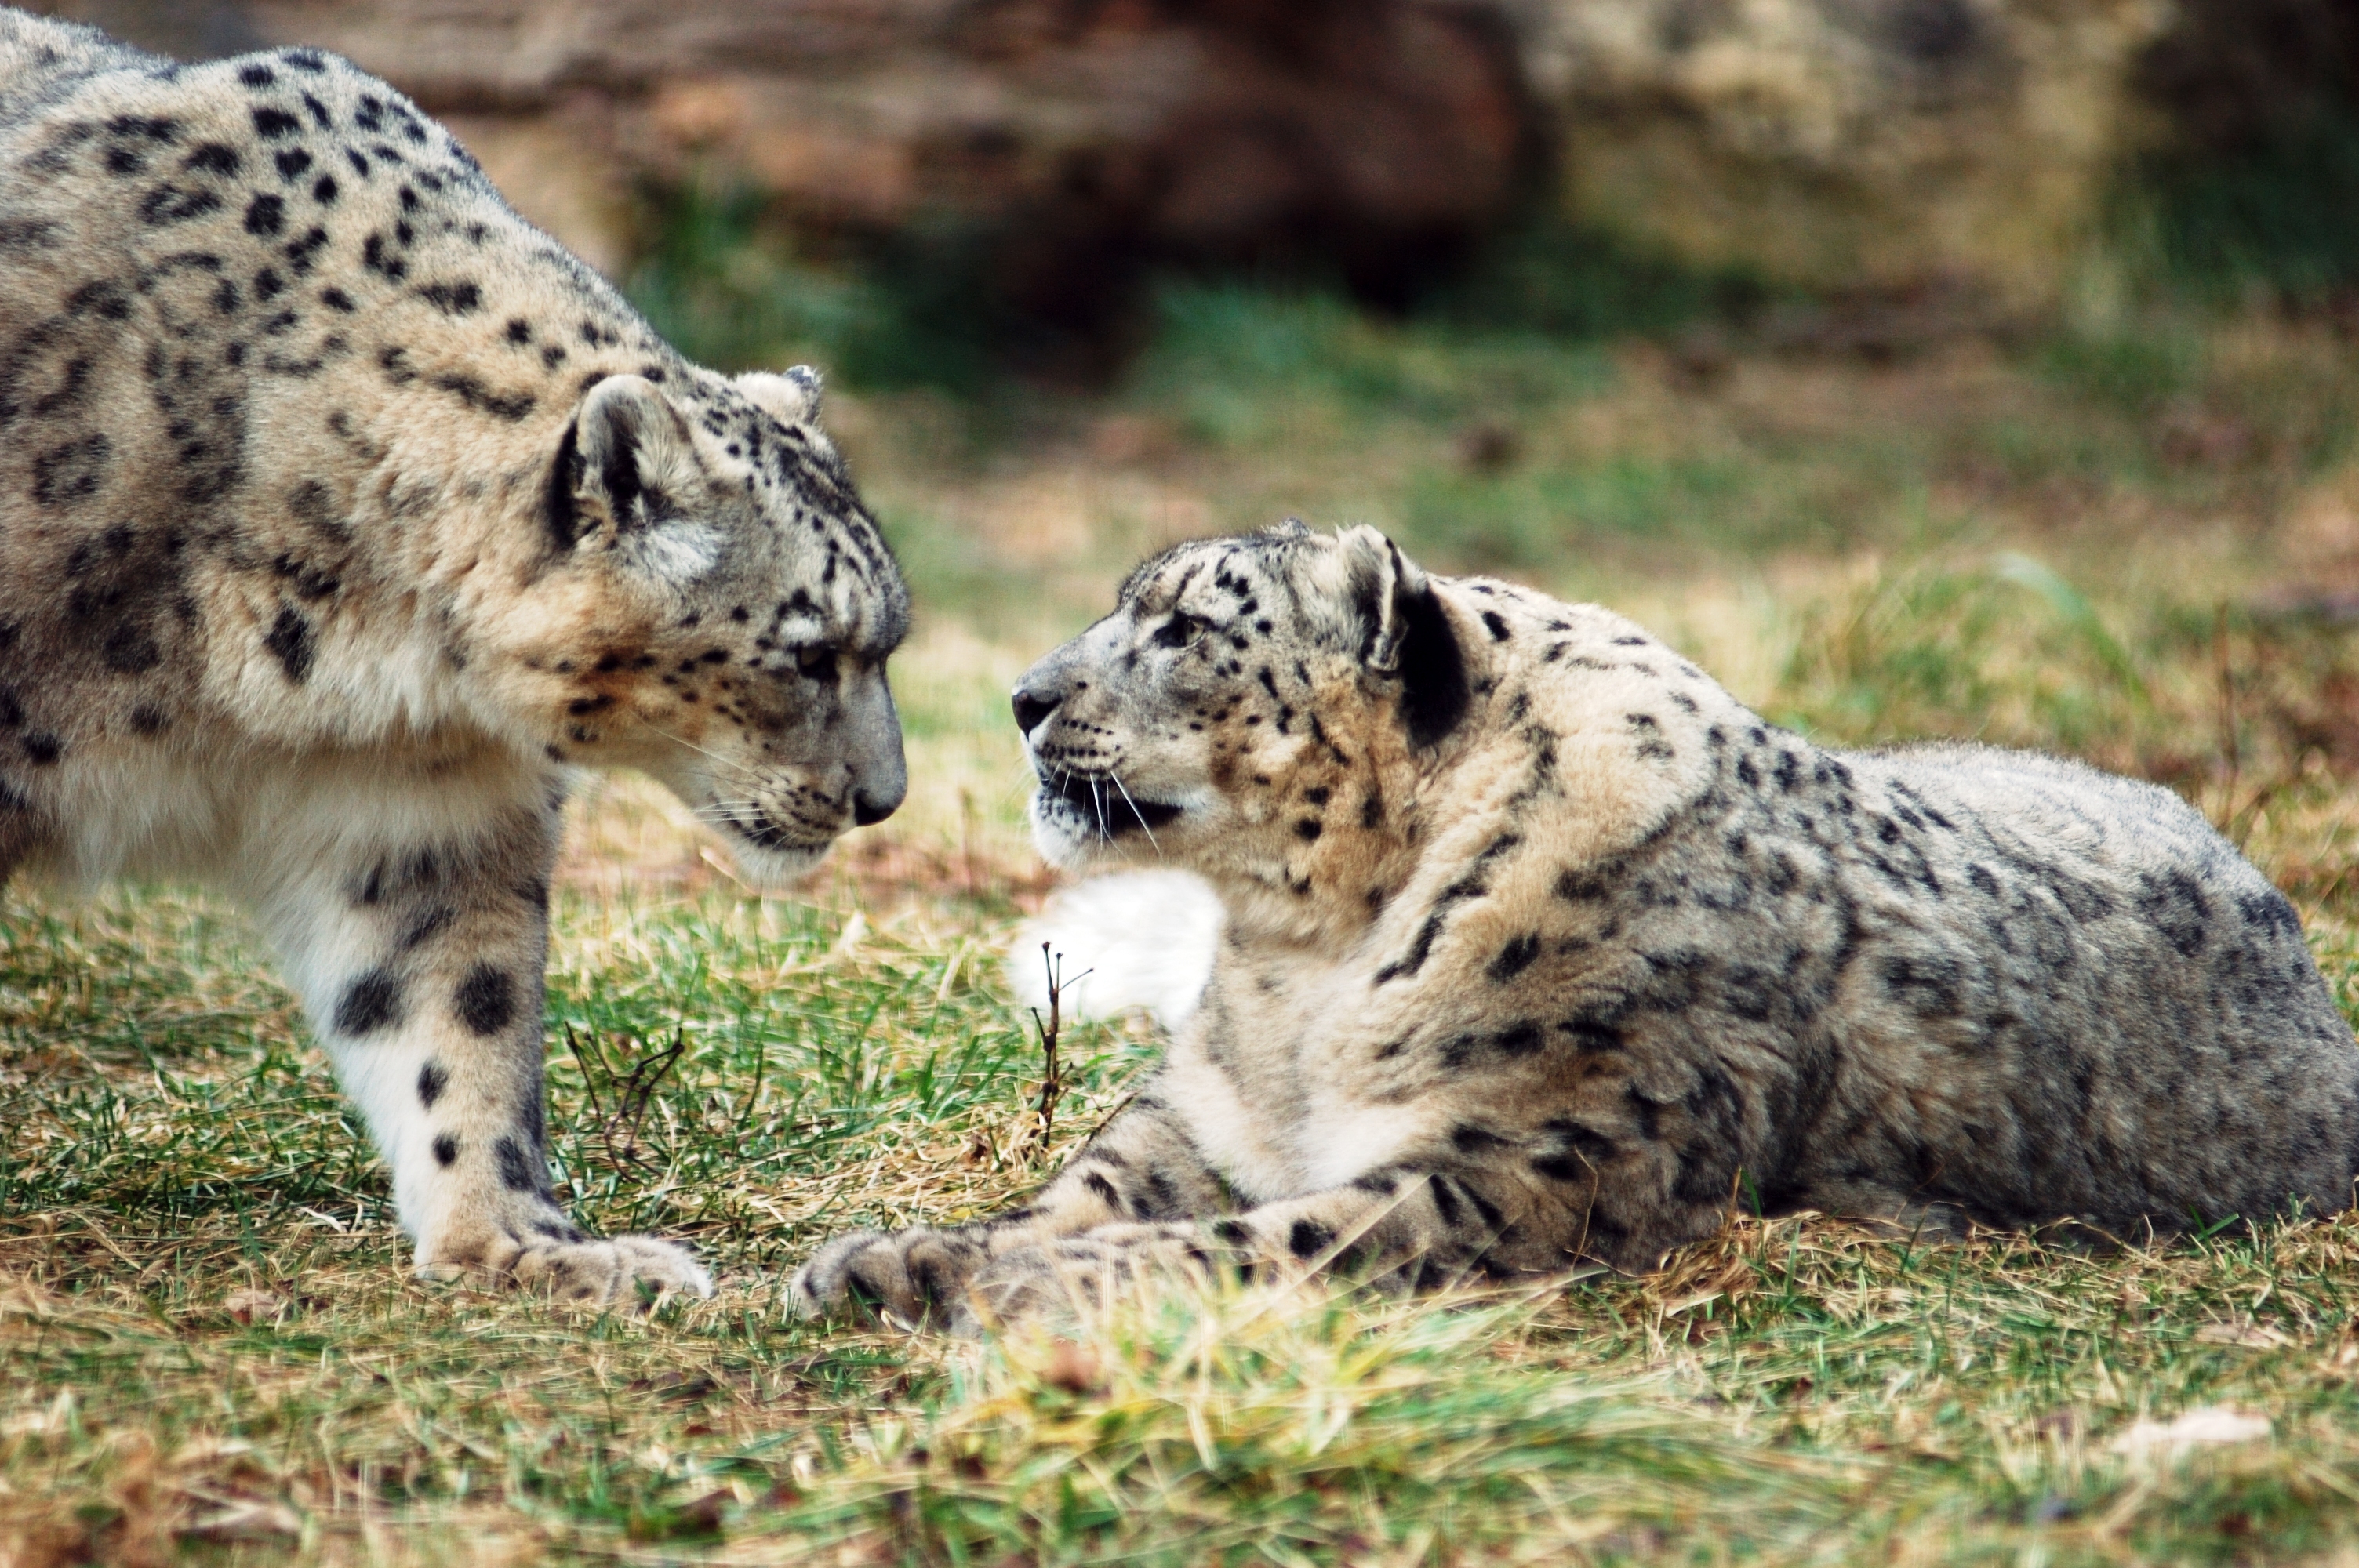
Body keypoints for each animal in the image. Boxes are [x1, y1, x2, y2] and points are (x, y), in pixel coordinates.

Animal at [794, 520, 2359, 1331]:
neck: (1299, 967)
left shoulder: (1531, 1159)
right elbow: (1102, 1180)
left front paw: (1017, 1286)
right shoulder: (1205, 1111)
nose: (1020, 697)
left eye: (1182, 628)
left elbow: (1266, 1238)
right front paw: (902, 1254)